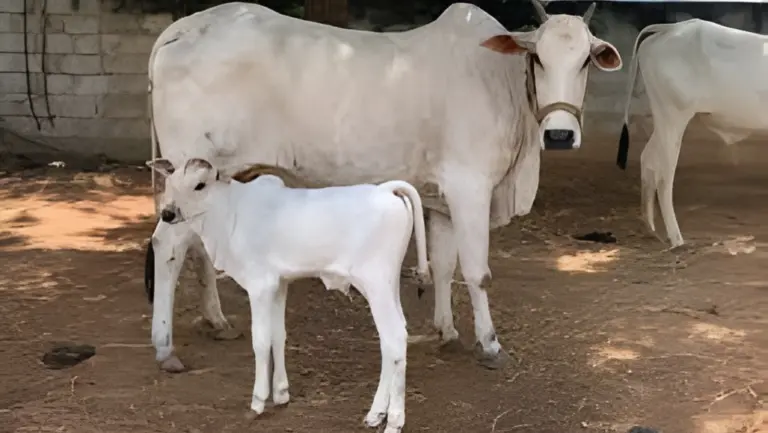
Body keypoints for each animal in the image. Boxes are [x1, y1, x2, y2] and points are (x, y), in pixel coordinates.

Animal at [145, 0, 623, 373]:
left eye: (586, 60)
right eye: (538, 57)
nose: (559, 135)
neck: (500, 78)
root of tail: (181, 28)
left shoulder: (442, 199)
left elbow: (444, 266)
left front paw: (446, 330)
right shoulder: (469, 187)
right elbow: (477, 271)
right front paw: (489, 344)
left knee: (200, 246)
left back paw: (217, 322)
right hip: (189, 174)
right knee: (168, 247)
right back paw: (165, 349)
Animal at [616, 18, 767, 248]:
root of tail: (670, 28)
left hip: (664, 120)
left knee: (648, 160)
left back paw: (652, 229)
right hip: (674, 117)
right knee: (665, 178)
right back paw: (676, 239)